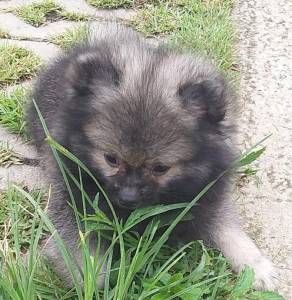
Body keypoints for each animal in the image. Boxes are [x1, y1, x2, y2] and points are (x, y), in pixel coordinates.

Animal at [26, 22, 278, 290]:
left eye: (160, 168)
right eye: (111, 159)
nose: (128, 197)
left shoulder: (208, 193)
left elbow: (227, 228)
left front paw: (255, 265)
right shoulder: (71, 192)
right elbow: (76, 240)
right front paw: (92, 278)